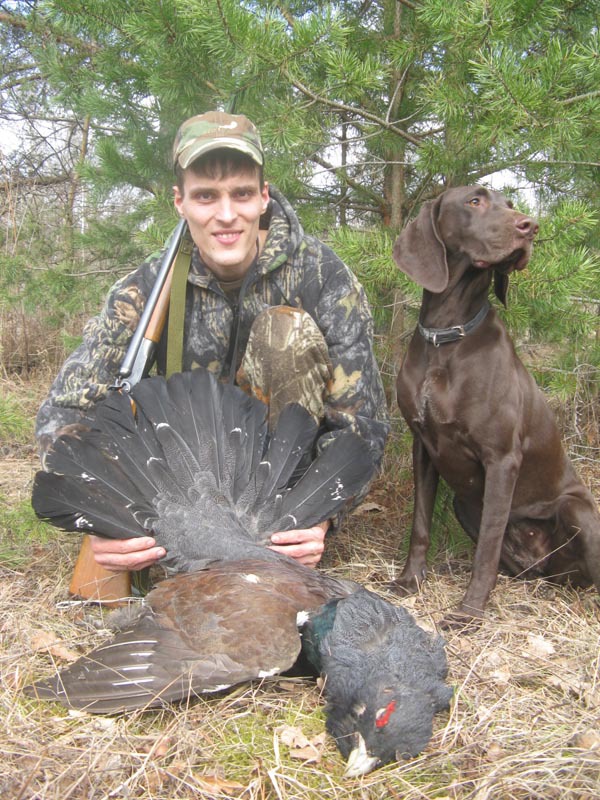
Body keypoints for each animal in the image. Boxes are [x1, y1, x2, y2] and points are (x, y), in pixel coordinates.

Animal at [392, 186, 596, 624]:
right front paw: (410, 580)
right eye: (475, 201)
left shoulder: (501, 458)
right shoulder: (423, 446)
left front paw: (469, 611)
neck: (447, 336)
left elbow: (486, 547)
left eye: (510, 205)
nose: (531, 227)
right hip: (465, 502)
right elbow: (420, 525)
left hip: (576, 510)